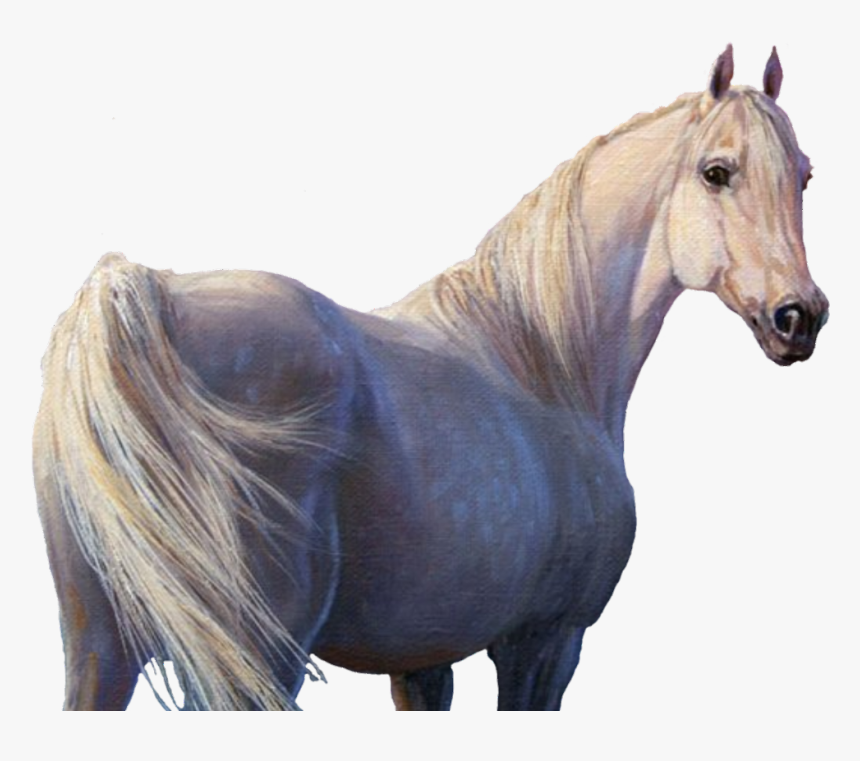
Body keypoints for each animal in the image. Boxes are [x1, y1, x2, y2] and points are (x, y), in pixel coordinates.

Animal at [33, 45, 828, 711]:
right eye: (717, 172)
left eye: (804, 175)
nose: (800, 317)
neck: (544, 357)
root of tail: (145, 299)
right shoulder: (544, 646)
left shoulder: (421, 662)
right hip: (247, 665)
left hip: (101, 653)